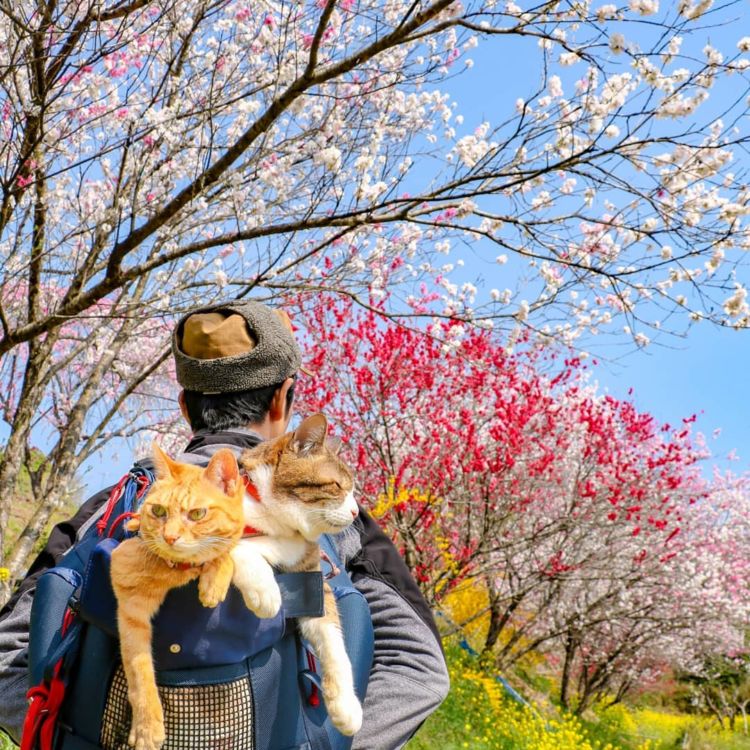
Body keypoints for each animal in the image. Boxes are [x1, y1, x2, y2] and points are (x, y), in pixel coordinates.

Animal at [110, 446, 245, 750]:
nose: (170, 537)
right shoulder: (130, 605)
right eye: (158, 510)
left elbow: (225, 551)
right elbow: (139, 670)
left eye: (197, 514)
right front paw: (147, 727)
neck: (178, 569)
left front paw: (214, 583)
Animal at [234, 414, 366, 736]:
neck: (277, 524)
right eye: (337, 486)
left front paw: (346, 706)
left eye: (352, 491)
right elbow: (236, 545)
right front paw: (265, 591)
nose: (356, 512)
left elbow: (334, 643)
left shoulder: (312, 584)